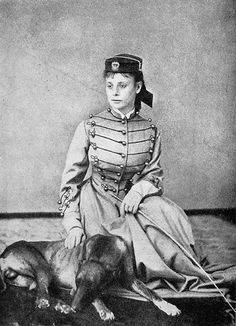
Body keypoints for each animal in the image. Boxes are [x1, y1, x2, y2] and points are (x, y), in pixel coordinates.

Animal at [0, 234, 181, 320]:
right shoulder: (75, 286)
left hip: (28, 280)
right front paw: (105, 310)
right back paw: (54, 303)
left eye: (93, 285)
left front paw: (168, 305)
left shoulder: (131, 280)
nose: (74, 307)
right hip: (42, 266)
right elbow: (96, 298)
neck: (104, 249)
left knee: (38, 287)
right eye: (78, 282)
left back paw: (62, 305)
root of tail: (3, 254)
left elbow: (152, 293)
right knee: (43, 289)